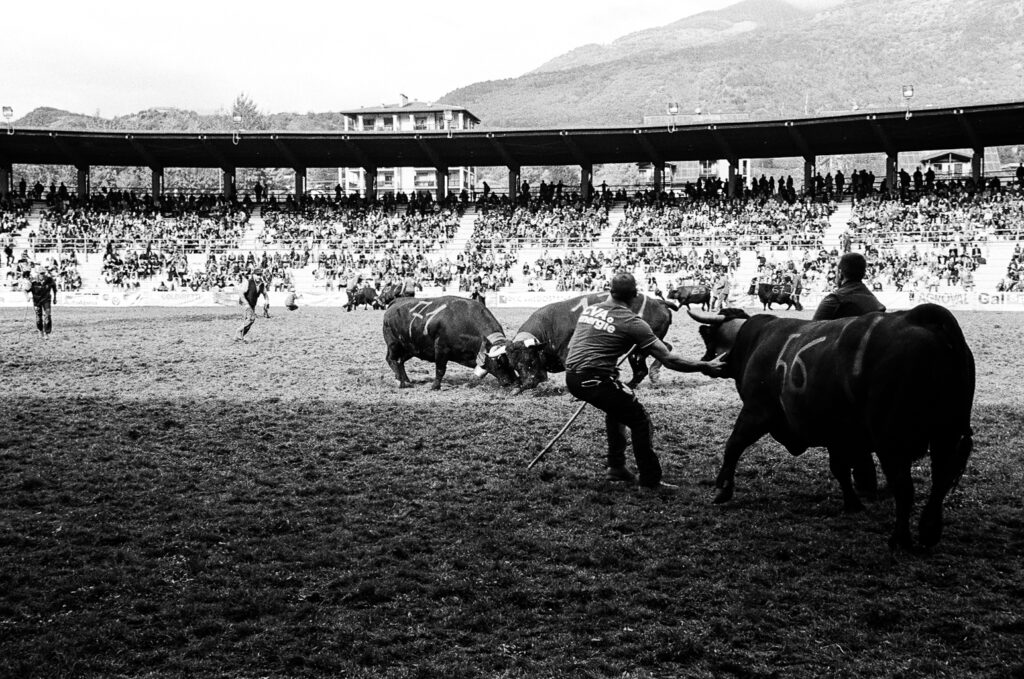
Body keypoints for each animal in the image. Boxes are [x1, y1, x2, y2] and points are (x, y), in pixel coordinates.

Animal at [380, 296, 516, 391]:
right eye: (499, 362)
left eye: (511, 362)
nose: (511, 381)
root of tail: (395, 302)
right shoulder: (441, 349)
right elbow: (440, 370)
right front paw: (435, 386)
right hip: (394, 344)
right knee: (391, 359)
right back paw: (400, 382)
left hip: (410, 348)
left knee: (400, 361)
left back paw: (406, 380)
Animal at [509, 290, 671, 391]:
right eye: (514, 366)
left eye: (531, 360)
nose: (528, 383)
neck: (549, 328)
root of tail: (658, 302)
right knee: (664, 350)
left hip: (640, 347)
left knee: (644, 368)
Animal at [688, 305, 974, 548]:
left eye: (708, 339)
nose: (705, 361)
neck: (755, 340)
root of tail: (920, 317)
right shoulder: (838, 433)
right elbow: (839, 468)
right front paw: (852, 503)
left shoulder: (757, 410)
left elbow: (734, 444)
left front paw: (722, 489)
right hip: (946, 434)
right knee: (940, 480)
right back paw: (929, 531)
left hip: (892, 441)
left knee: (904, 487)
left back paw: (900, 539)